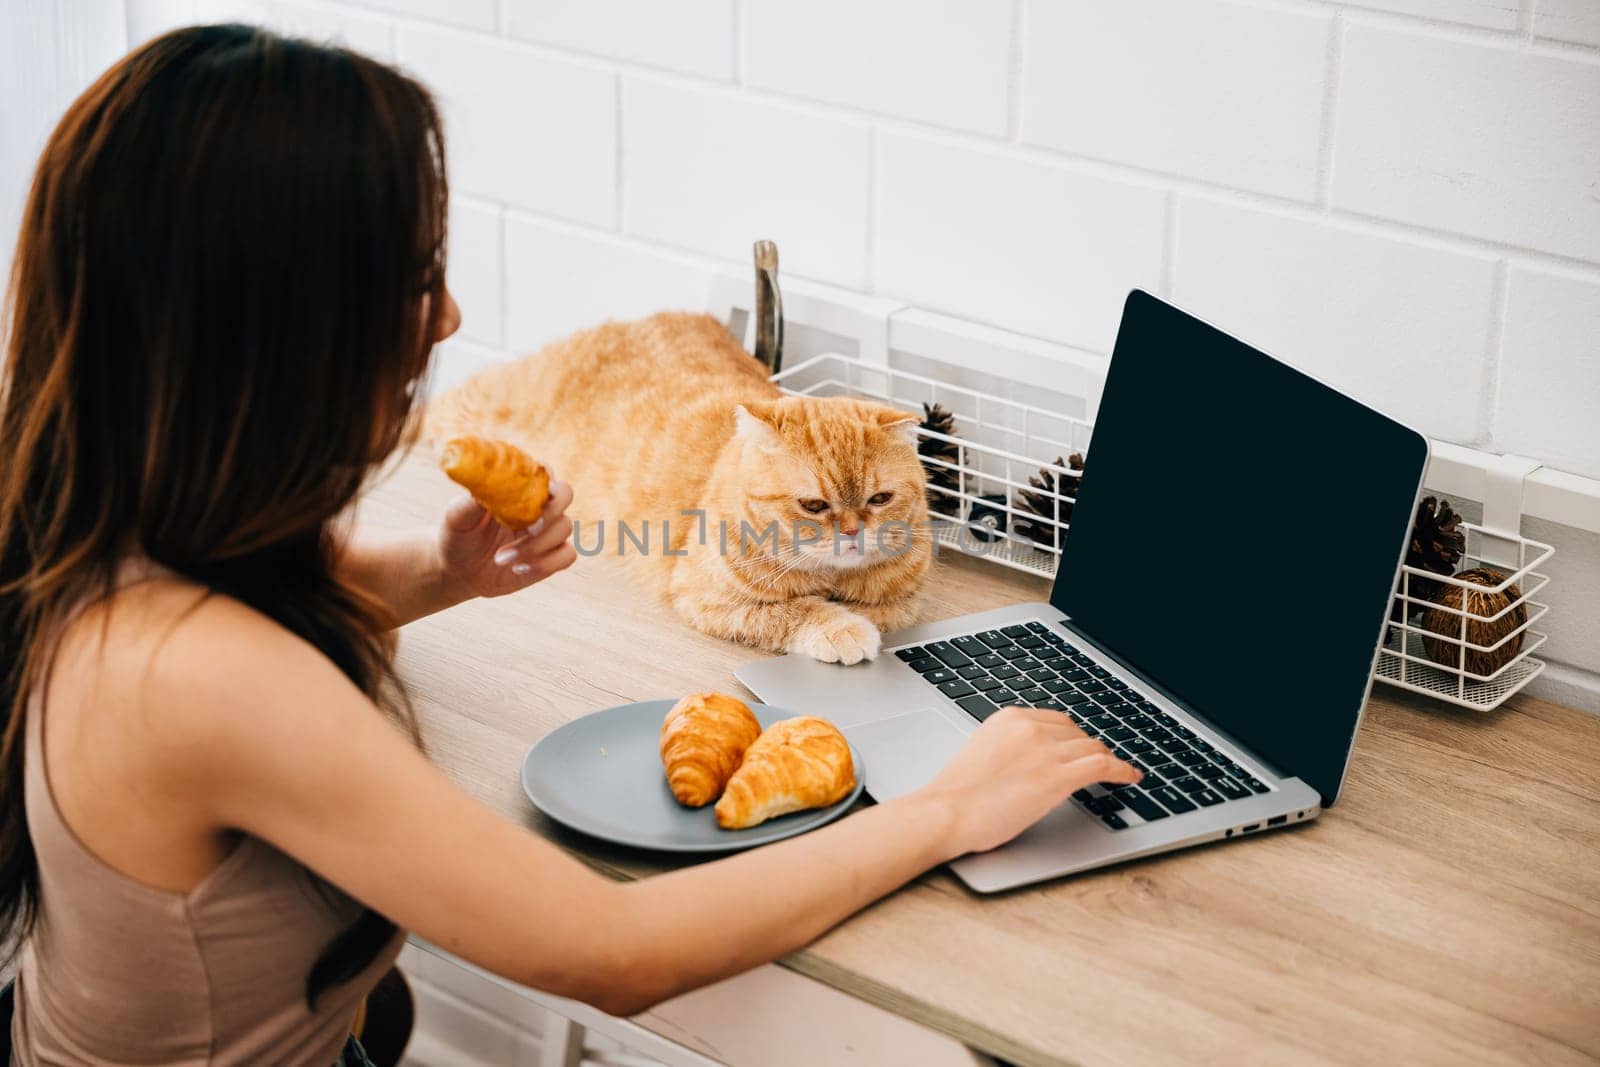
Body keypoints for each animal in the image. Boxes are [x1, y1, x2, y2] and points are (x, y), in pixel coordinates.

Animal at [425, 310, 934, 659]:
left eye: (880, 499)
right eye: (813, 505)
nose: (851, 533)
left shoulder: (906, 602)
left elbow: (880, 610)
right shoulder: (711, 599)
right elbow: (798, 610)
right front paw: (841, 626)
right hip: (478, 409)